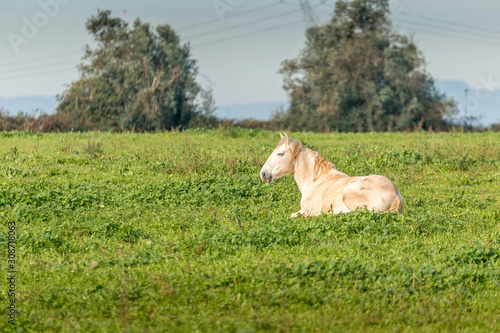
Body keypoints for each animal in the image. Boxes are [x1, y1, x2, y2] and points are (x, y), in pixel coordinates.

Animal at [260, 133, 404, 218]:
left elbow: (292, 215)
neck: (315, 181)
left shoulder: (307, 210)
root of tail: (396, 195)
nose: (263, 174)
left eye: (280, 154)